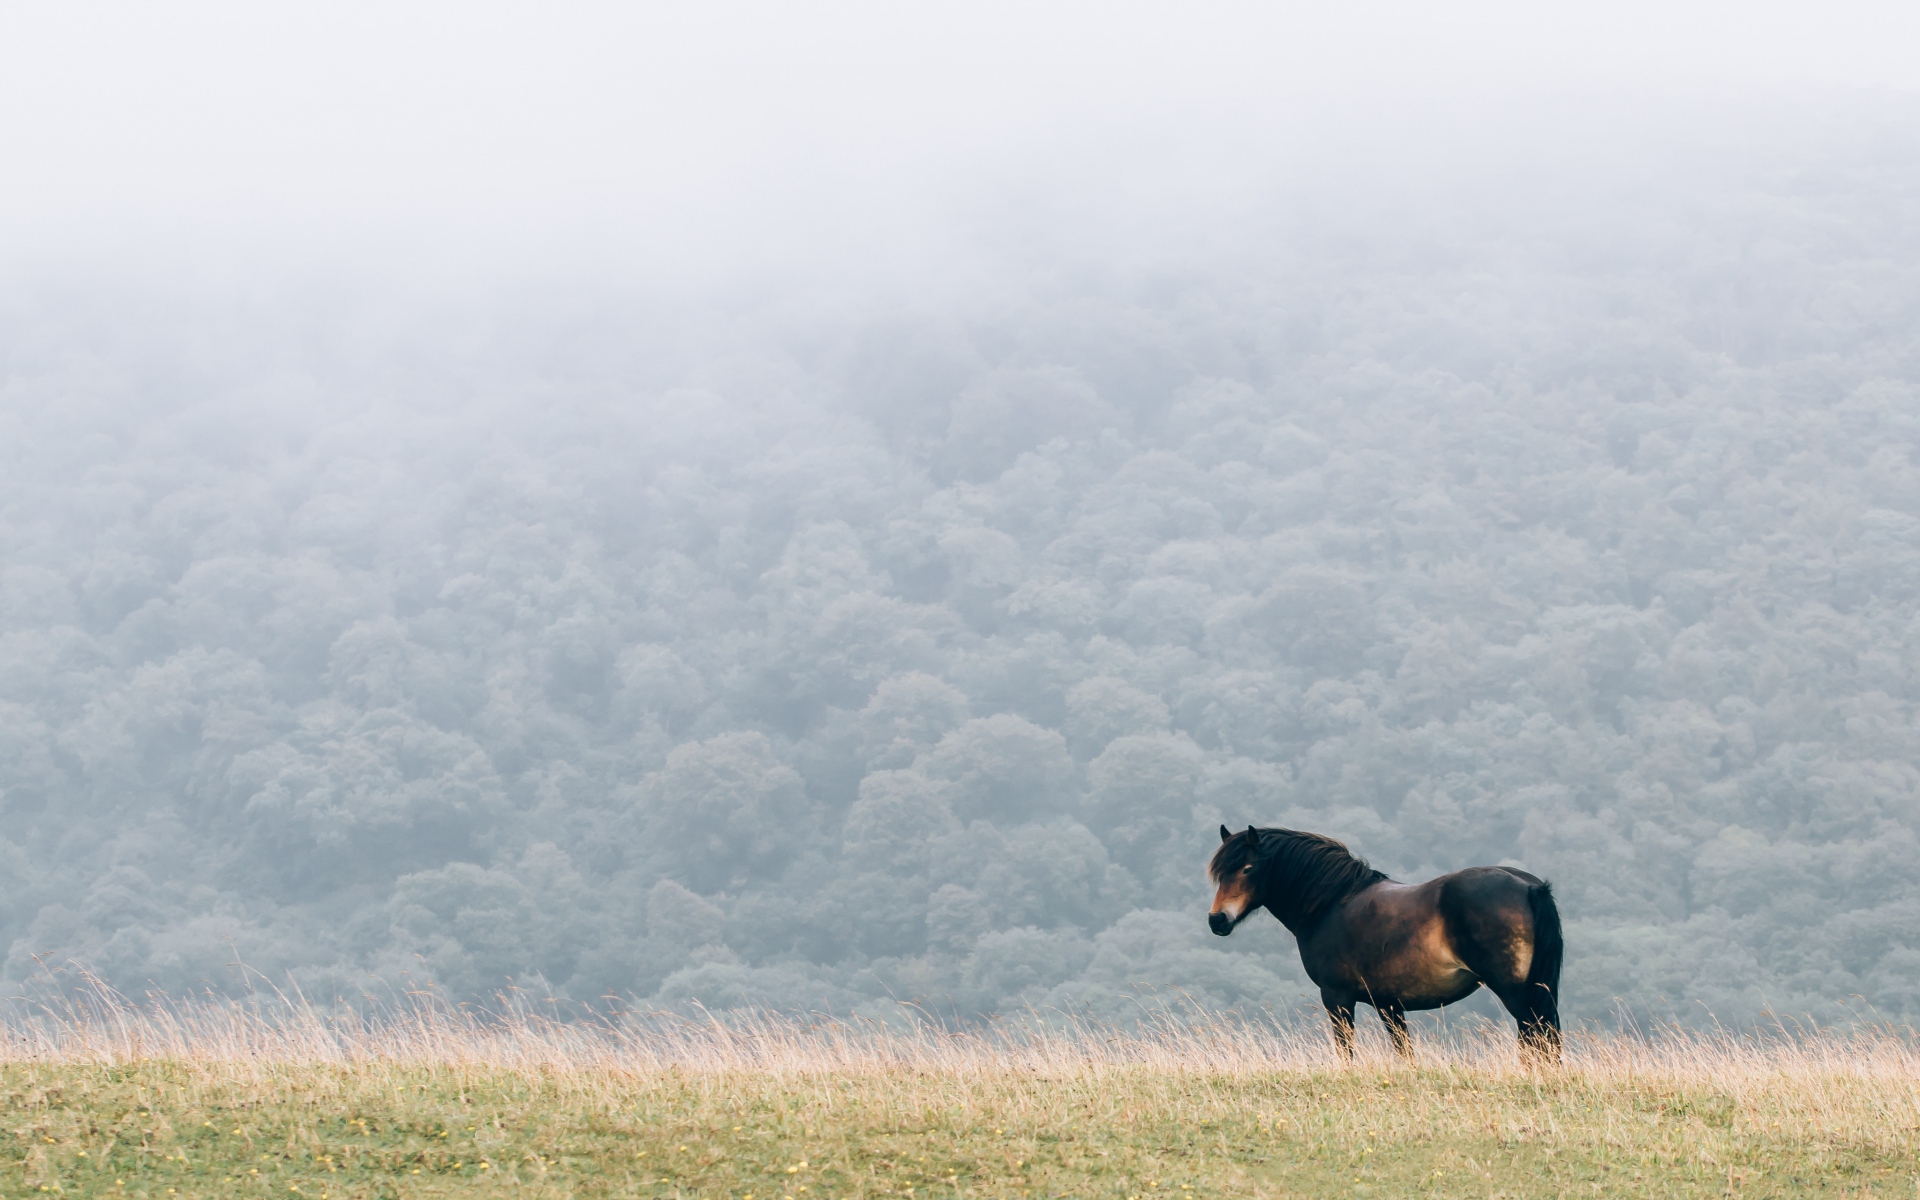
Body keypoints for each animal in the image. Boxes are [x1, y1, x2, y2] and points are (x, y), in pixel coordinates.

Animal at [1208, 824, 1562, 1062]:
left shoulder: (1337, 998)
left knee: (1536, 1036)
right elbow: (1404, 1052)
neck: (1331, 903)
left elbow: (1346, 1052)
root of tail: (1529, 887)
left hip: (1516, 993)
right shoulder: (1390, 1005)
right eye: (1220, 873)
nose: (1217, 920)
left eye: (1247, 868)